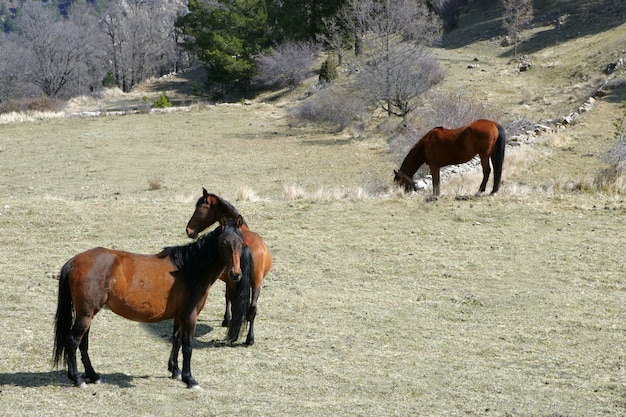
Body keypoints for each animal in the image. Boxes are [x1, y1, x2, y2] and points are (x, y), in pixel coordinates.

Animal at [53, 216, 249, 388]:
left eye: (240, 244)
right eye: (223, 243)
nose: (235, 274)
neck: (188, 268)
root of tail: (73, 262)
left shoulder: (179, 316)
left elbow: (176, 340)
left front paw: (175, 371)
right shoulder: (190, 316)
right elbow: (187, 346)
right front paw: (189, 379)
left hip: (87, 314)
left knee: (83, 343)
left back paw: (93, 376)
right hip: (86, 314)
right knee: (73, 341)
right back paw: (78, 379)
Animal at [186, 188, 272, 344]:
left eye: (200, 210)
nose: (189, 231)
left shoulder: (230, 280)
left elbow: (227, 298)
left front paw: (226, 320)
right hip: (257, 283)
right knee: (252, 309)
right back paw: (249, 338)